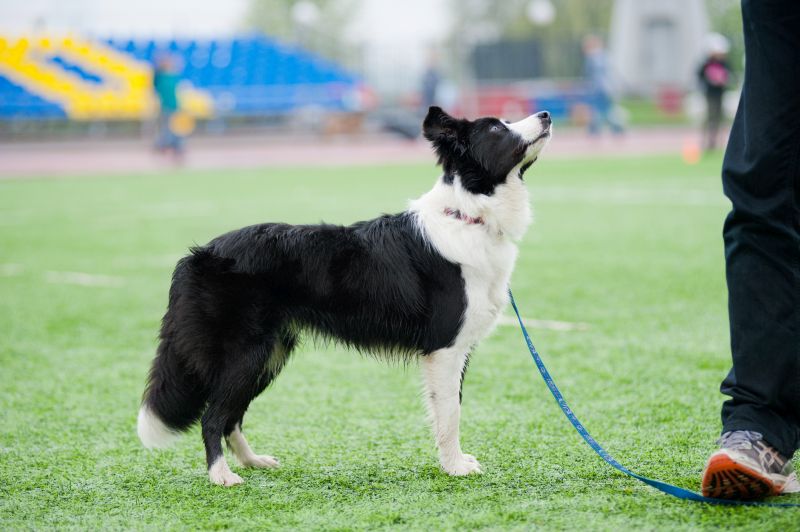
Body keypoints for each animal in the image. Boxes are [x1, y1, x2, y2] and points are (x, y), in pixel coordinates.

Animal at [138, 106, 552, 484]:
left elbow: (449, 409)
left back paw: (252, 461)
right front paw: (455, 467)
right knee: (213, 415)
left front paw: (455, 462)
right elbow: (451, 413)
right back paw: (221, 476)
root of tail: (198, 254)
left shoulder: (457, 350)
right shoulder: (445, 347)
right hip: (247, 351)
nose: (546, 114)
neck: (469, 214)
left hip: (270, 353)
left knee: (231, 415)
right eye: (497, 129)